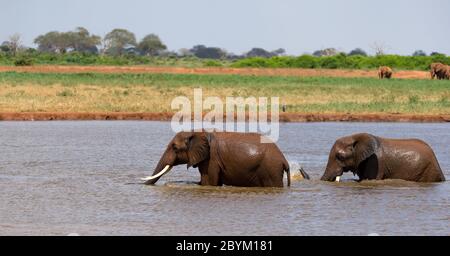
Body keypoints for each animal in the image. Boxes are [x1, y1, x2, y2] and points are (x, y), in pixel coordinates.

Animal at [141, 131, 306, 187]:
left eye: (175, 148)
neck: (198, 132)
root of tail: (284, 160)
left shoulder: (211, 160)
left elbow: (209, 183)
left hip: (271, 170)